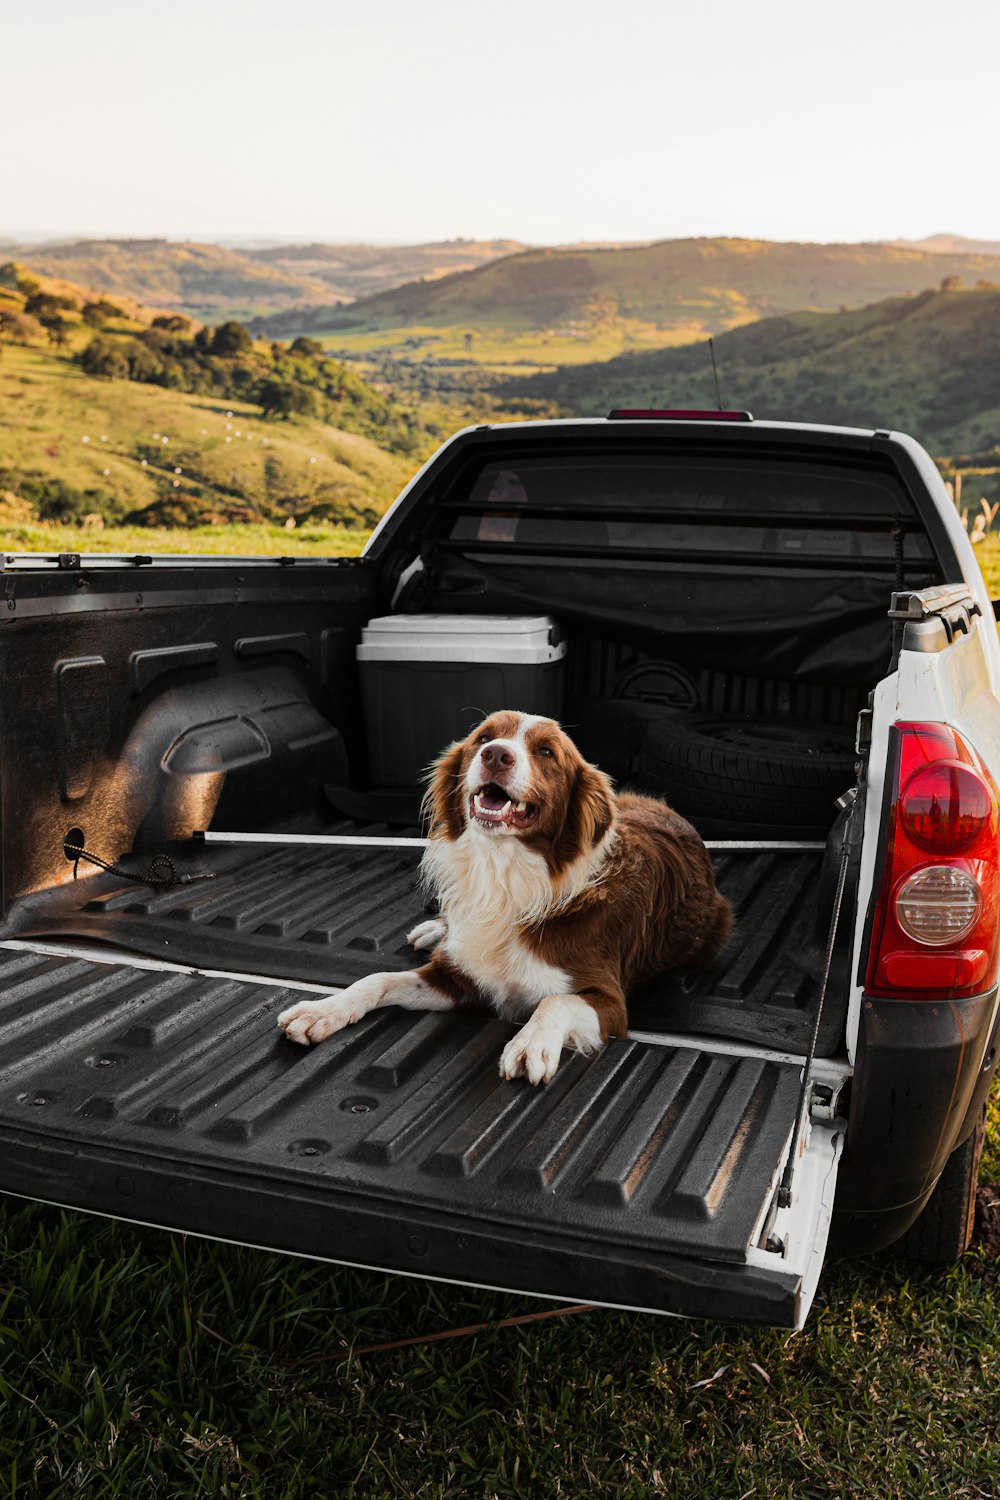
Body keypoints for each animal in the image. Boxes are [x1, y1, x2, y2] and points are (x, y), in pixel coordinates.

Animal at [277, 711, 731, 1080]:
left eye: (546, 751)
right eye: (483, 737)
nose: (496, 755)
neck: (502, 873)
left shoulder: (609, 1001)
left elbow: (555, 1002)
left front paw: (530, 1043)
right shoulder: (456, 978)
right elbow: (377, 979)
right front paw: (324, 1010)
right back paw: (434, 929)